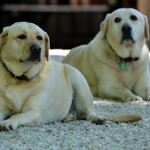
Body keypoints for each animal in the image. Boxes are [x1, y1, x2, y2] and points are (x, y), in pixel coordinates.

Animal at [0, 22, 142, 130]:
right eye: (21, 36)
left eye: (39, 38)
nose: (37, 48)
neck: (20, 79)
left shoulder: (33, 112)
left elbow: (17, 116)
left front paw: (8, 122)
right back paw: (69, 117)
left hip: (78, 81)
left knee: (88, 112)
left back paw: (96, 118)